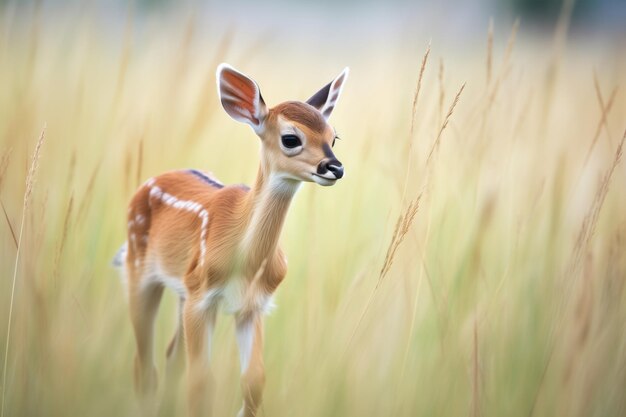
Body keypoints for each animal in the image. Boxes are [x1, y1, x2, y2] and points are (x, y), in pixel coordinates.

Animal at [112, 63, 346, 414]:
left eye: (334, 137)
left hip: (181, 292)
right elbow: (201, 383)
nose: (335, 167)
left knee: (170, 357)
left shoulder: (253, 304)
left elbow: (254, 382)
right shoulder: (201, 297)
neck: (245, 262)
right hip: (139, 271)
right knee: (144, 366)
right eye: (291, 138)